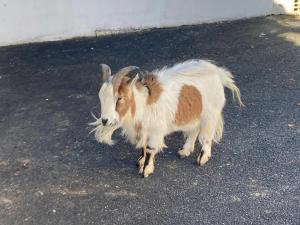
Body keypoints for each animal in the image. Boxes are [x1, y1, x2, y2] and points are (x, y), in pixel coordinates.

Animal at [90, 59, 243, 178]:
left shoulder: (156, 130)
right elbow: (143, 147)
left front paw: (146, 170)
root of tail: (218, 73)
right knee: (194, 130)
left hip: (210, 113)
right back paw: (184, 151)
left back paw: (202, 158)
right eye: (101, 97)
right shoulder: (145, 130)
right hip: (194, 113)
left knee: (206, 136)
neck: (143, 102)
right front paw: (140, 161)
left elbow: (150, 149)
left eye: (119, 98)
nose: (105, 120)